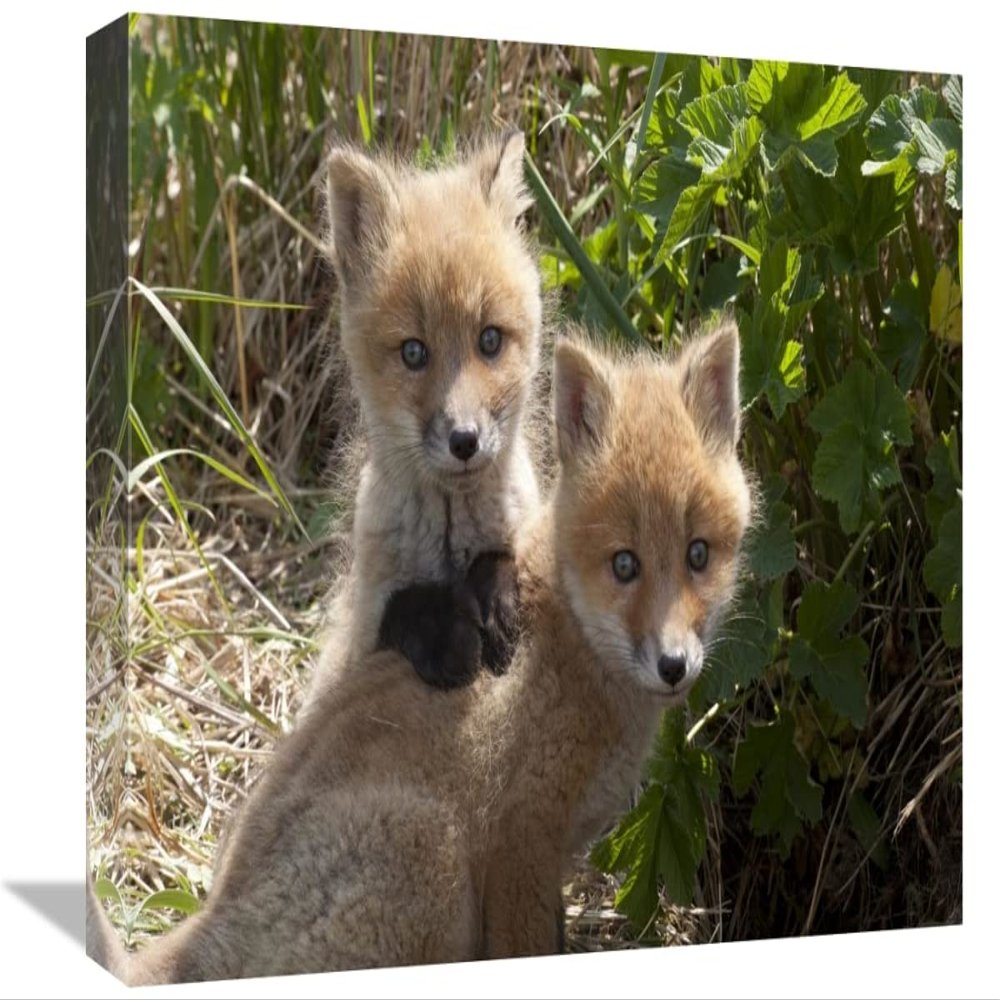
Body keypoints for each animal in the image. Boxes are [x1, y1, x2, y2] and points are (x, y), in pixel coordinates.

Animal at [87, 321, 752, 981]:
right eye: (624, 565)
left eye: (698, 554)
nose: (674, 666)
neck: (570, 641)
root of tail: (210, 926)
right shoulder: (521, 843)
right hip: (436, 856)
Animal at [302, 131, 545, 704]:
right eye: (414, 352)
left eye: (489, 340)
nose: (465, 439)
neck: (450, 540)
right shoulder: (356, 637)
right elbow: (403, 606)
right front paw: (449, 636)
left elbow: (503, 557)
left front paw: (496, 605)